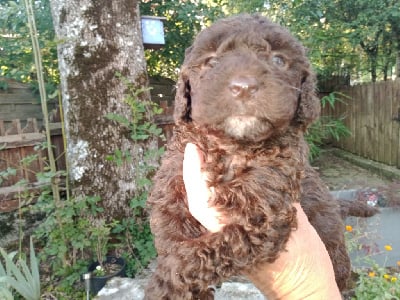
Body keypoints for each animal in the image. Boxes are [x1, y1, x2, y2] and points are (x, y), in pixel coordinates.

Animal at [146, 13, 372, 298]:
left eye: (278, 60)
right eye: (211, 62)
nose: (244, 87)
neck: (233, 147)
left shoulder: (264, 214)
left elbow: (201, 253)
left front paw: (167, 280)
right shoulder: (174, 181)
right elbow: (170, 236)